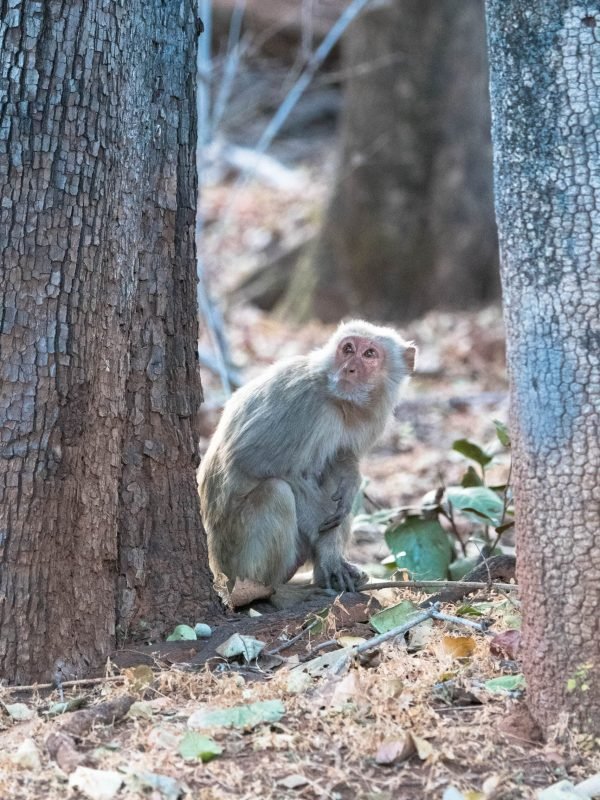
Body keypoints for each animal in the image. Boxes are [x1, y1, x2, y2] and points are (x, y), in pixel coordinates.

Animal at [198, 319, 416, 605]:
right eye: (348, 349)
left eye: (369, 354)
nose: (349, 368)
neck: (340, 403)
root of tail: (217, 570)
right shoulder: (299, 399)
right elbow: (249, 459)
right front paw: (325, 544)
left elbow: (343, 460)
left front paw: (350, 480)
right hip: (232, 559)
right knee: (276, 491)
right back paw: (274, 591)